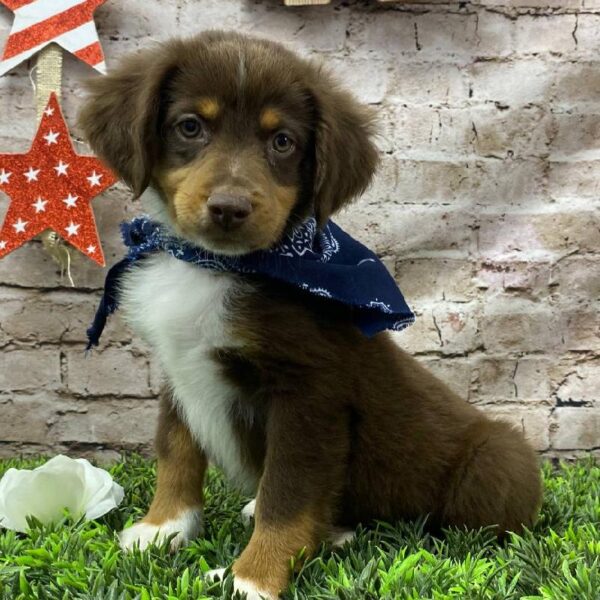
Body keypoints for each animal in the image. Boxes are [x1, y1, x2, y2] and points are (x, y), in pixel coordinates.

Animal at [77, 31, 540, 600]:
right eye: (190, 126)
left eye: (282, 142)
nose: (229, 209)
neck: (216, 266)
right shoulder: (179, 367)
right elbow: (176, 451)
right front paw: (163, 527)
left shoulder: (307, 395)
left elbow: (287, 493)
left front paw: (250, 578)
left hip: (498, 460)